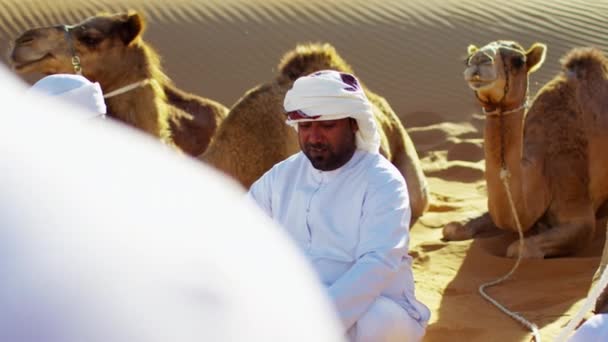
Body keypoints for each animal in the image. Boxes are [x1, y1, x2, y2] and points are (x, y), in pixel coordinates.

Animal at [442, 40, 608, 258]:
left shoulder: (577, 206)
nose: (479, 59)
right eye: (467, 59)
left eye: (518, 61)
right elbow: (452, 228)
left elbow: (517, 249)